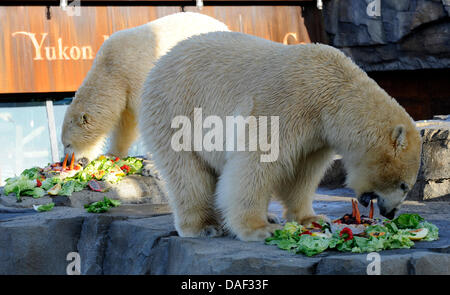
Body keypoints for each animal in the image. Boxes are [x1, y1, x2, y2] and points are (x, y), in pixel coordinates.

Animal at [60, 12, 229, 163]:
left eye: (68, 144)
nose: (66, 161)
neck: (111, 68)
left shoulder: (137, 75)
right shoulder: (124, 89)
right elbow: (125, 125)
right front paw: (112, 154)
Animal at [138, 31, 422, 242]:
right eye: (404, 185)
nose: (392, 213)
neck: (333, 93)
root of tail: (159, 63)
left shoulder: (317, 133)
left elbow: (302, 171)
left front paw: (310, 218)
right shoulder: (285, 105)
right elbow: (255, 162)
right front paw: (258, 228)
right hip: (175, 112)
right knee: (187, 172)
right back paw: (203, 226)